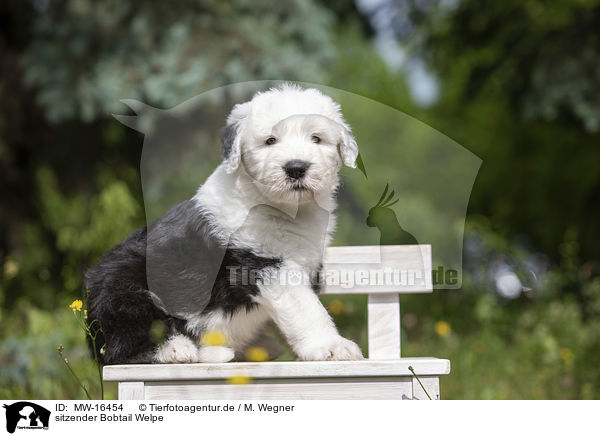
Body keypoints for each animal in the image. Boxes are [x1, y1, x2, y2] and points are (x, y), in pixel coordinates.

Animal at [85, 83, 364, 362]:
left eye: (316, 138)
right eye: (270, 140)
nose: (296, 168)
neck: (285, 208)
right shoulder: (265, 263)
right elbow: (307, 309)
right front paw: (332, 346)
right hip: (123, 290)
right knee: (122, 347)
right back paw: (183, 349)